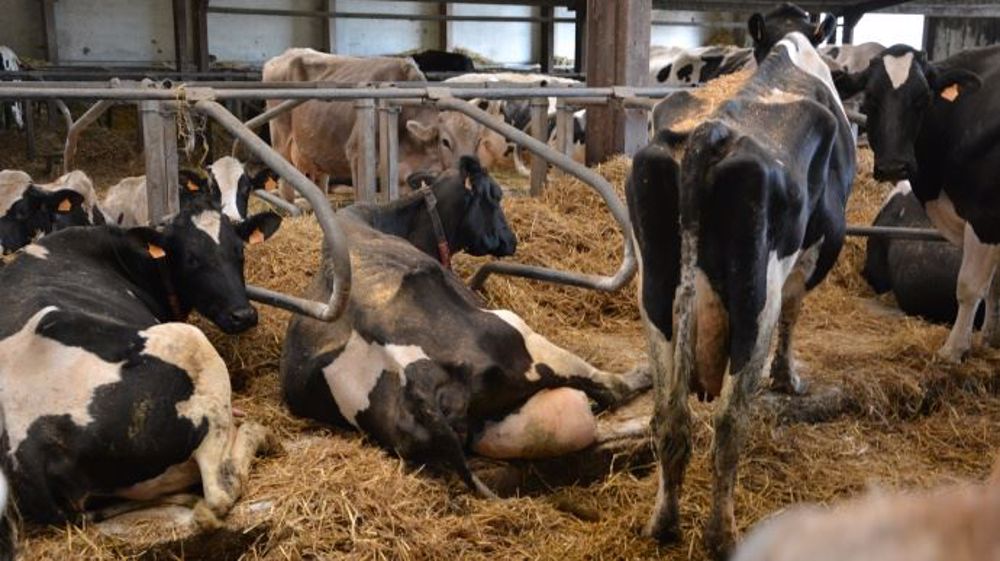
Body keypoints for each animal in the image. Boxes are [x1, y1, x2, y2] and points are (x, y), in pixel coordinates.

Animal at [0, 195, 282, 528]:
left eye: (239, 252)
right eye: (191, 259)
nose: (243, 315)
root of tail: (30, 452)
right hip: (190, 343)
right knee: (217, 493)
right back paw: (258, 433)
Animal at [264, 49, 487, 200]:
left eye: (477, 142)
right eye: (446, 141)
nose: (469, 178)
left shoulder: (405, 176)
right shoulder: (356, 153)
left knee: (320, 181)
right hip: (280, 139)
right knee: (286, 184)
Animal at [281, 156, 648, 495]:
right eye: (495, 195)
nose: (511, 239)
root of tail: (417, 381)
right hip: (518, 330)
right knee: (610, 387)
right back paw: (642, 375)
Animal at [628, 32, 855, 559]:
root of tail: (709, 133)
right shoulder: (808, 258)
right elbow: (794, 313)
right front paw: (787, 378)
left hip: (655, 295)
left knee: (670, 417)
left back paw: (663, 523)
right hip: (756, 302)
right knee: (730, 424)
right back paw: (723, 536)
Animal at [834, 44, 995, 362]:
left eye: (923, 99)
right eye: (870, 99)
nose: (894, 166)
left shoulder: (983, 214)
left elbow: (970, 285)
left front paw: (953, 351)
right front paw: (989, 341)